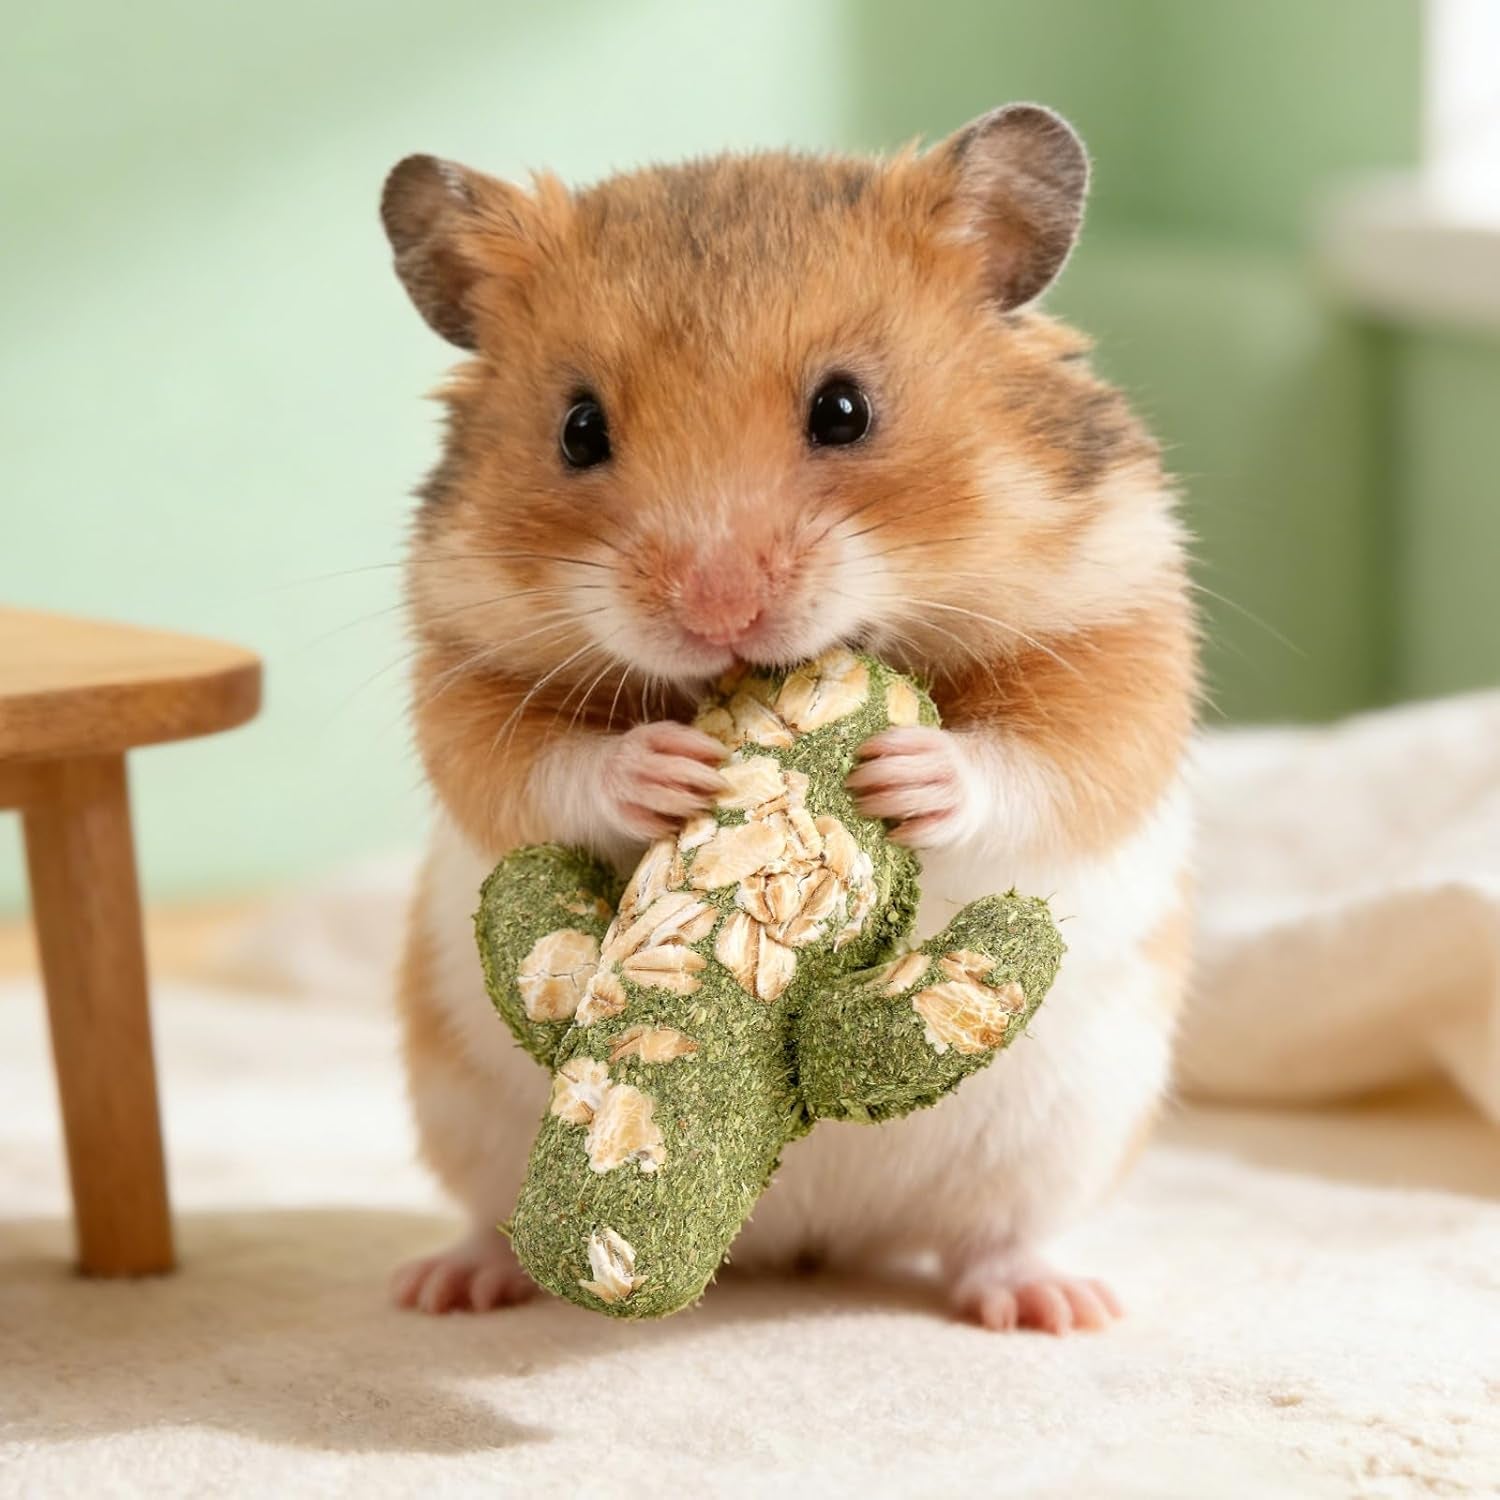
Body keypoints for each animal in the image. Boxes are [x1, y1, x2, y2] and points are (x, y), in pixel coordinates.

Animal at [381, 104, 1196, 1332]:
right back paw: (445, 1286)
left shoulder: (1124, 628)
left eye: (845, 410)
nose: (718, 611)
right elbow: (530, 765)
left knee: (996, 1235)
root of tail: (805, 1241)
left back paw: (1058, 1308)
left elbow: (1051, 757)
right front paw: (667, 769)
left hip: (1075, 1128)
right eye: (578, 430)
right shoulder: (464, 666)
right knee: (480, 1216)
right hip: (458, 1107)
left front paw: (906, 773)